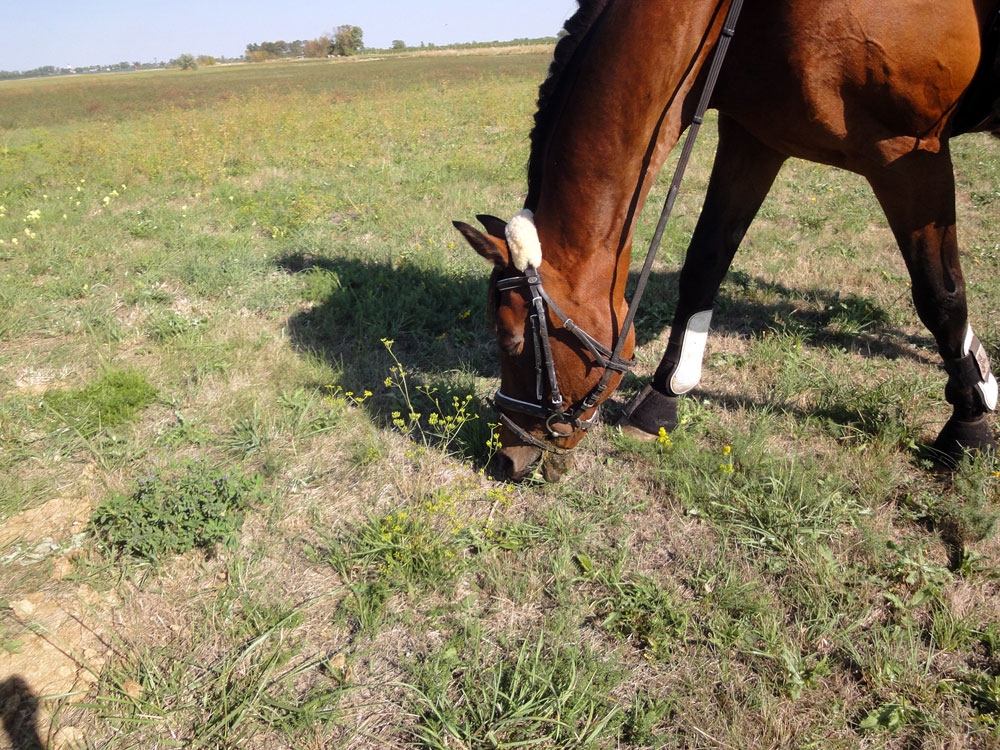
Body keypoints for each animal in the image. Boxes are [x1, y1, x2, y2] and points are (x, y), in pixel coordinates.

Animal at [456, 0, 1000, 482]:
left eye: (510, 337)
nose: (506, 458)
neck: (738, 13)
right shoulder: (755, 137)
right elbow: (705, 263)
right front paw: (661, 402)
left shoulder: (907, 155)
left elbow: (940, 293)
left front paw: (969, 424)